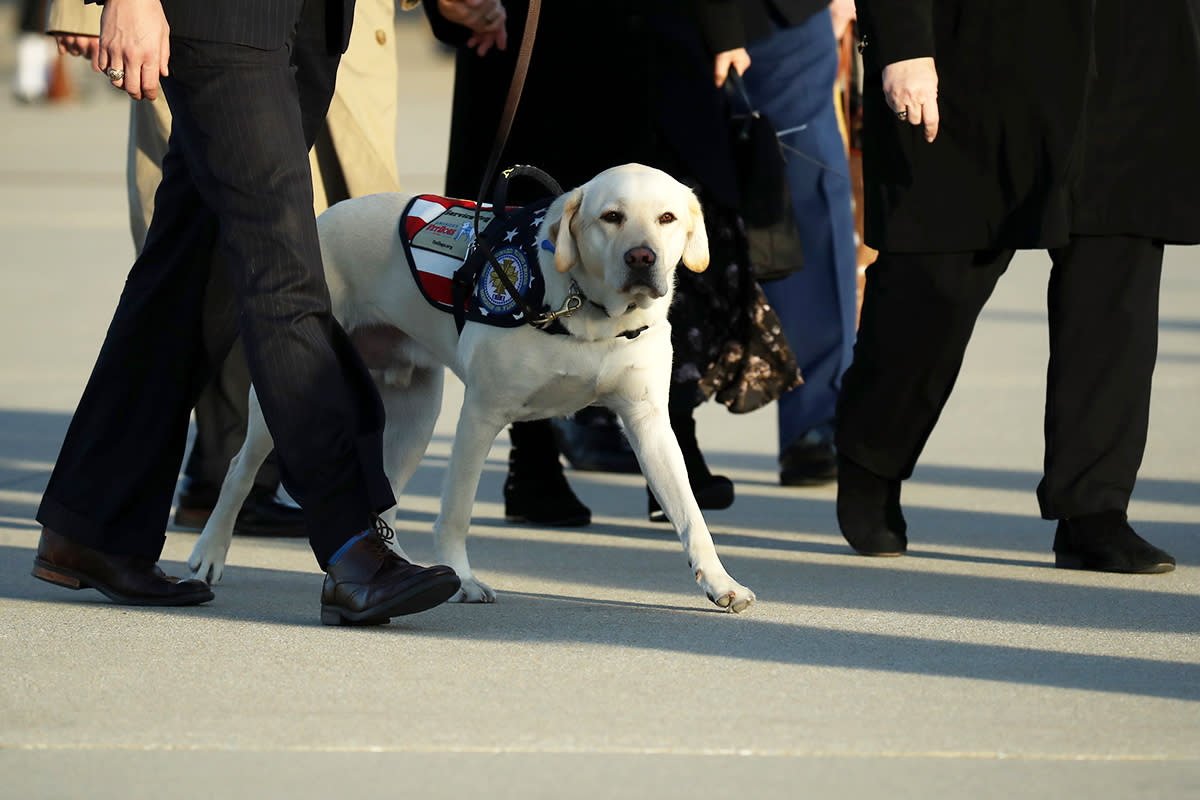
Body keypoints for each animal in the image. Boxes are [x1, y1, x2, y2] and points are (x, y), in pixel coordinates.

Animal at [186, 163, 748, 614]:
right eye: (611, 216)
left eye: (667, 219)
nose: (641, 257)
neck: (590, 315)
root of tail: (324, 217)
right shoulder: (481, 414)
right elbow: (455, 513)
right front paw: (463, 578)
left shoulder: (649, 421)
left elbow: (690, 514)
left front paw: (721, 582)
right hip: (285, 399)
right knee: (238, 471)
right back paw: (209, 553)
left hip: (415, 418)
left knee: (385, 502)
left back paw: (398, 570)